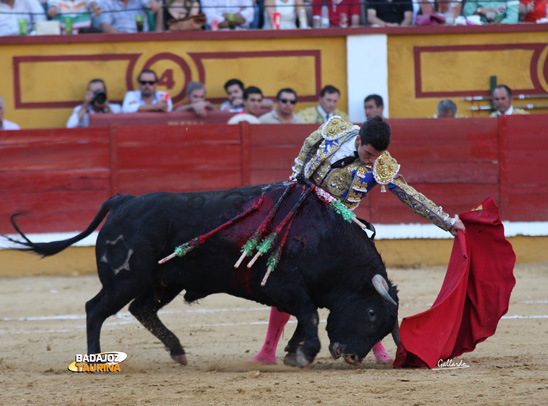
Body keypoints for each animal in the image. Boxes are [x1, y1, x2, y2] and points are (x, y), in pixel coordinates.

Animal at [6, 181, 400, 368]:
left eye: (384, 326)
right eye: (370, 312)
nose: (352, 356)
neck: (324, 236)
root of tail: (124, 200)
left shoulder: (294, 292)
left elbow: (306, 318)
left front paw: (293, 352)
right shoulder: (285, 286)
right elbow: (309, 315)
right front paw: (303, 355)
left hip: (162, 283)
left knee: (140, 309)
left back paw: (178, 351)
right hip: (125, 279)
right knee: (95, 309)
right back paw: (95, 358)